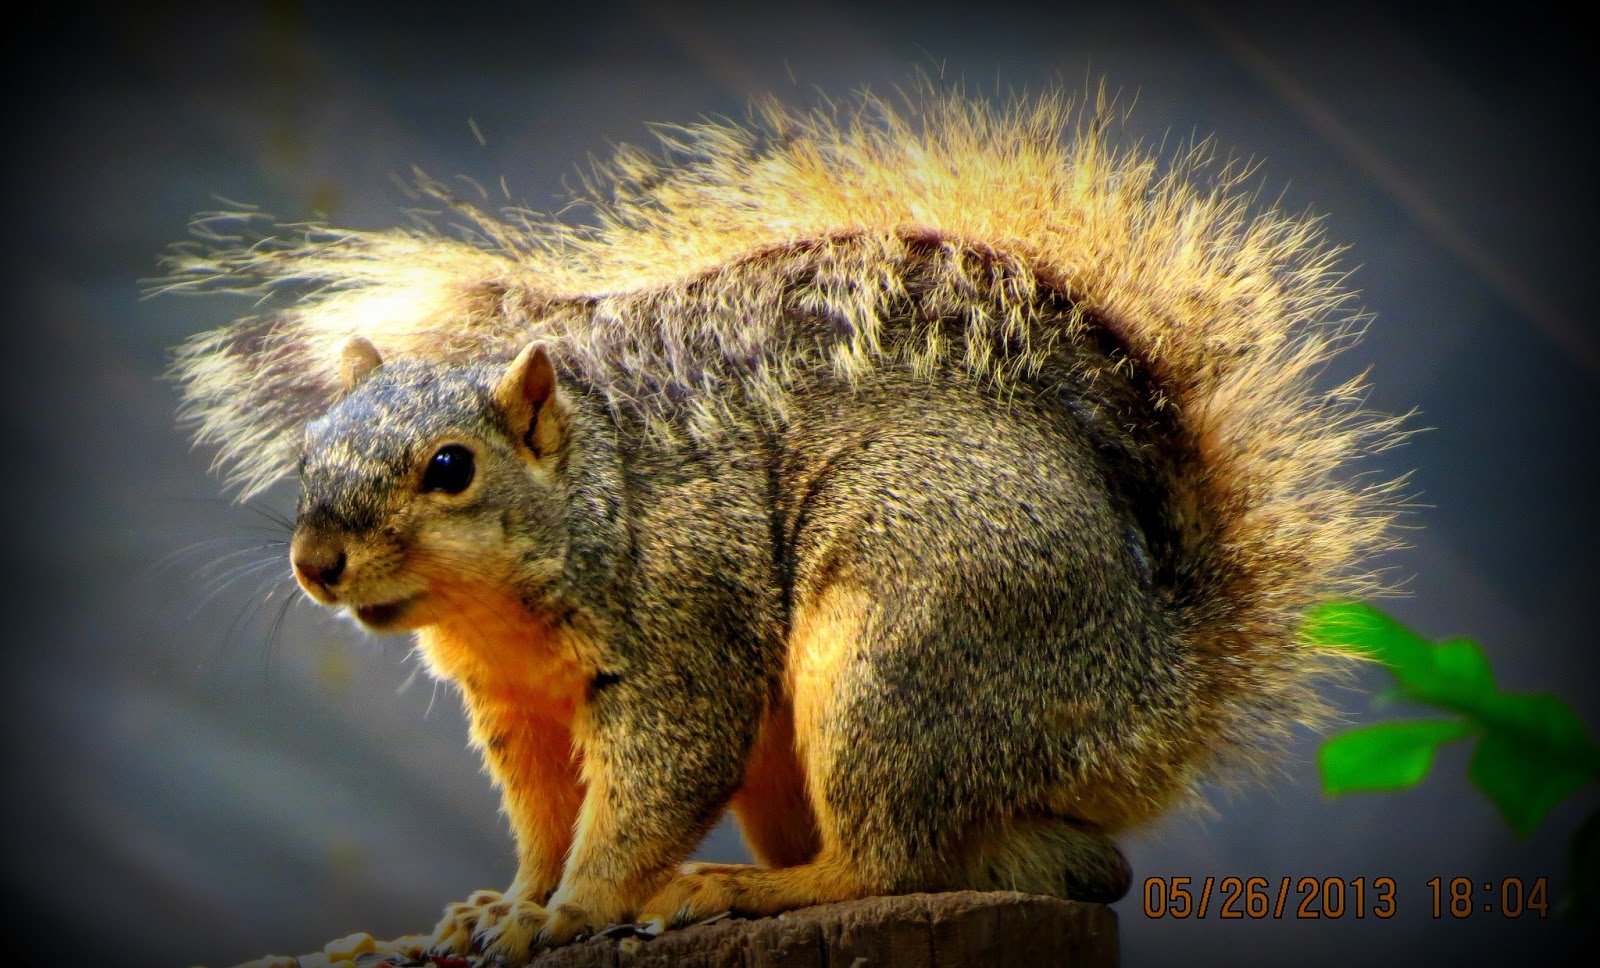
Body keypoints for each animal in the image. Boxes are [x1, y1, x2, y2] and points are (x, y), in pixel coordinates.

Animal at [161, 86, 1405, 962]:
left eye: (451, 468)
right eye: (311, 451)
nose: (316, 562)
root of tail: (1155, 699)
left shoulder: (681, 638)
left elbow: (647, 793)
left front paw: (570, 912)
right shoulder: (518, 716)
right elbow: (545, 819)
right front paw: (494, 907)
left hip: (896, 657)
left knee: (888, 864)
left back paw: (744, 887)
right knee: (1040, 862)